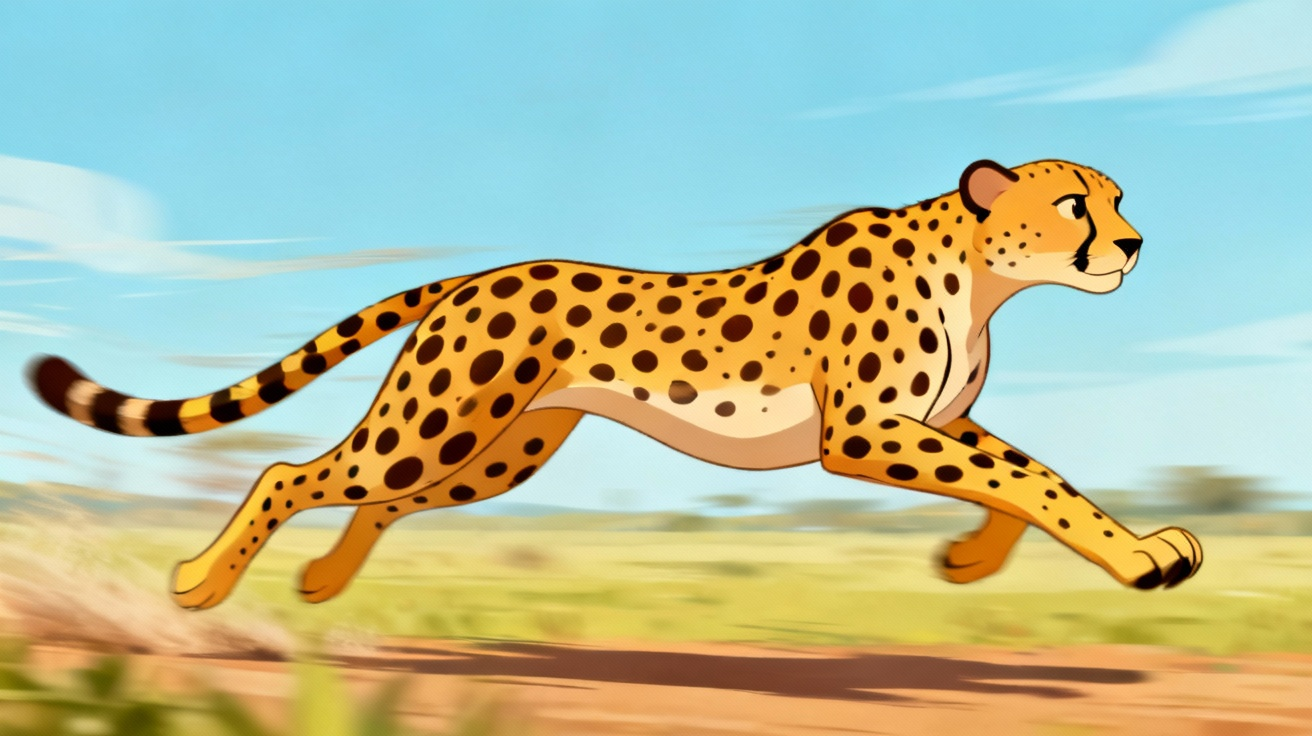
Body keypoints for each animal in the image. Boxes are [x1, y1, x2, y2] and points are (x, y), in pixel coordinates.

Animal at [28, 158, 1201, 609]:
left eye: (1118, 197)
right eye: (1075, 206)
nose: (1136, 243)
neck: (982, 271)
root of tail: (473, 274)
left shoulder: (927, 425)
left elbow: (1023, 477)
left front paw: (970, 559)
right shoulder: (867, 432)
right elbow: (1030, 476)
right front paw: (1142, 558)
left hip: (494, 451)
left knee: (380, 498)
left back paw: (320, 580)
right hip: (434, 427)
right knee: (290, 471)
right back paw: (197, 582)